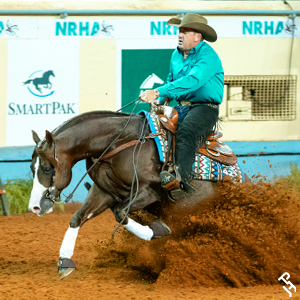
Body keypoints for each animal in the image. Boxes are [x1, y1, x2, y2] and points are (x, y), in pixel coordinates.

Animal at [27, 109, 223, 278]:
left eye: (46, 168)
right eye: (31, 167)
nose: (34, 207)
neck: (117, 142)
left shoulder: (149, 190)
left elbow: (120, 212)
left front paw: (158, 230)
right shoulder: (104, 192)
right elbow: (78, 217)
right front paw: (65, 261)